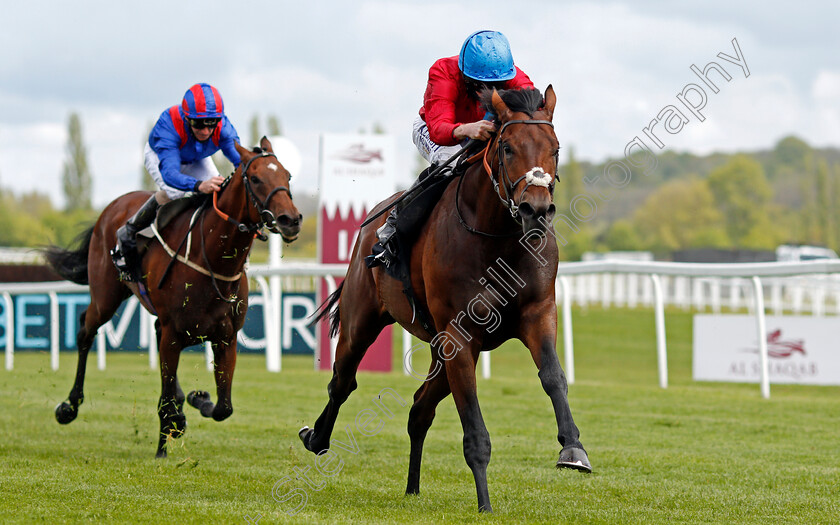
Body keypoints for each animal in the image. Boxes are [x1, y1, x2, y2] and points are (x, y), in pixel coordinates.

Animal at [46, 137, 302, 456]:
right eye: (255, 179)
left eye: (287, 176)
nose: (290, 220)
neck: (213, 262)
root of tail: (113, 206)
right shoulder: (173, 334)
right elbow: (166, 400)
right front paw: (162, 447)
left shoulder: (225, 338)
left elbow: (224, 407)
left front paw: (196, 399)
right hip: (106, 295)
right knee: (85, 329)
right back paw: (69, 406)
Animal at [302, 88, 592, 510]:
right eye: (506, 147)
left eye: (554, 149)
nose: (535, 210)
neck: (498, 238)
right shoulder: (459, 335)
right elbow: (474, 427)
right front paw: (485, 504)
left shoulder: (537, 314)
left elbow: (554, 376)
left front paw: (573, 449)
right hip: (364, 319)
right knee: (342, 382)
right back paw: (317, 438)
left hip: (440, 352)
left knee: (419, 410)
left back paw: (412, 486)